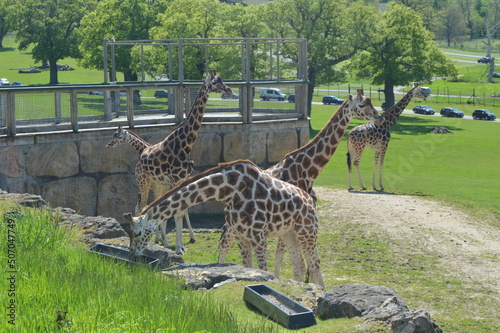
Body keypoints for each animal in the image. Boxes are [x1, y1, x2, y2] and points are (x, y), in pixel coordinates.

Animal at [106, 70, 231, 252]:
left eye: (221, 80)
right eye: (214, 83)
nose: (228, 90)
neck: (186, 144)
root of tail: (140, 157)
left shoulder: (182, 179)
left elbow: (181, 210)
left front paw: (182, 242)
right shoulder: (175, 179)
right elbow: (176, 212)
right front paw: (178, 247)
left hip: (157, 183)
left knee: (150, 207)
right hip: (144, 181)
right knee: (140, 207)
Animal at [120, 160, 324, 286]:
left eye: (137, 233)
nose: (132, 257)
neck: (229, 191)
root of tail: (310, 201)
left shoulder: (258, 236)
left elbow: (262, 270)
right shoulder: (241, 236)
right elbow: (249, 269)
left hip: (307, 232)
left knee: (314, 264)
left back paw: (320, 289)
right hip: (289, 233)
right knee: (300, 265)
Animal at [218, 88, 382, 278]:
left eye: (371, 103)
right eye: (361, 105)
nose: (379, 117)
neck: (309, 170)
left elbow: (304, 260)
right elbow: (283, 258)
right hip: (236, 226)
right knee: (224, 245)